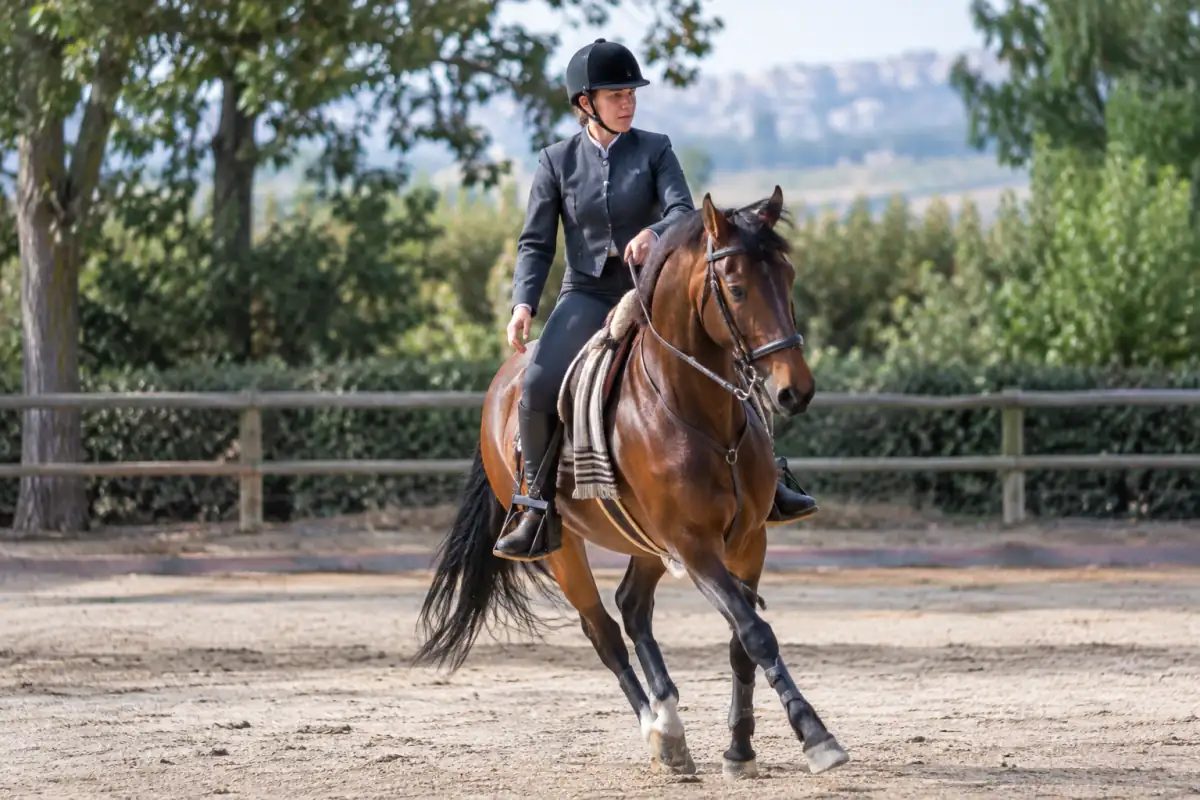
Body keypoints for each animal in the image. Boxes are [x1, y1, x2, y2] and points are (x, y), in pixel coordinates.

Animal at [411, 186, 850, 780]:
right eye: (736, 288)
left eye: (789, 277)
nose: (794, 391)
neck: (700, 414)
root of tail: (506, 378)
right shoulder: (694, 545)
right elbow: (754, 631)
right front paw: (815, 736)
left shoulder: (748, 540)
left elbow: (741, 641)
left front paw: (739, 749)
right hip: (564, 548)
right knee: (604, 631)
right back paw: (659, 732)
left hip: (646, 542)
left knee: (633, 607)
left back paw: (670, 720)